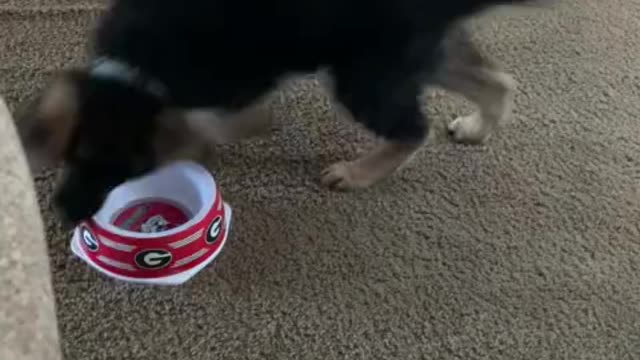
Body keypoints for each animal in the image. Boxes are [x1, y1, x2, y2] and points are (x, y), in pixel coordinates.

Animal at [16, 0, 536, 224]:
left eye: (136, 171)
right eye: (76, 157)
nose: (67, 216)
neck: (139, 73)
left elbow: (217, 122)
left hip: (357, 71)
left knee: (413, 130)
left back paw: (357, 173)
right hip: (402, 51)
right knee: (497, 81)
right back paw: (477, 127)